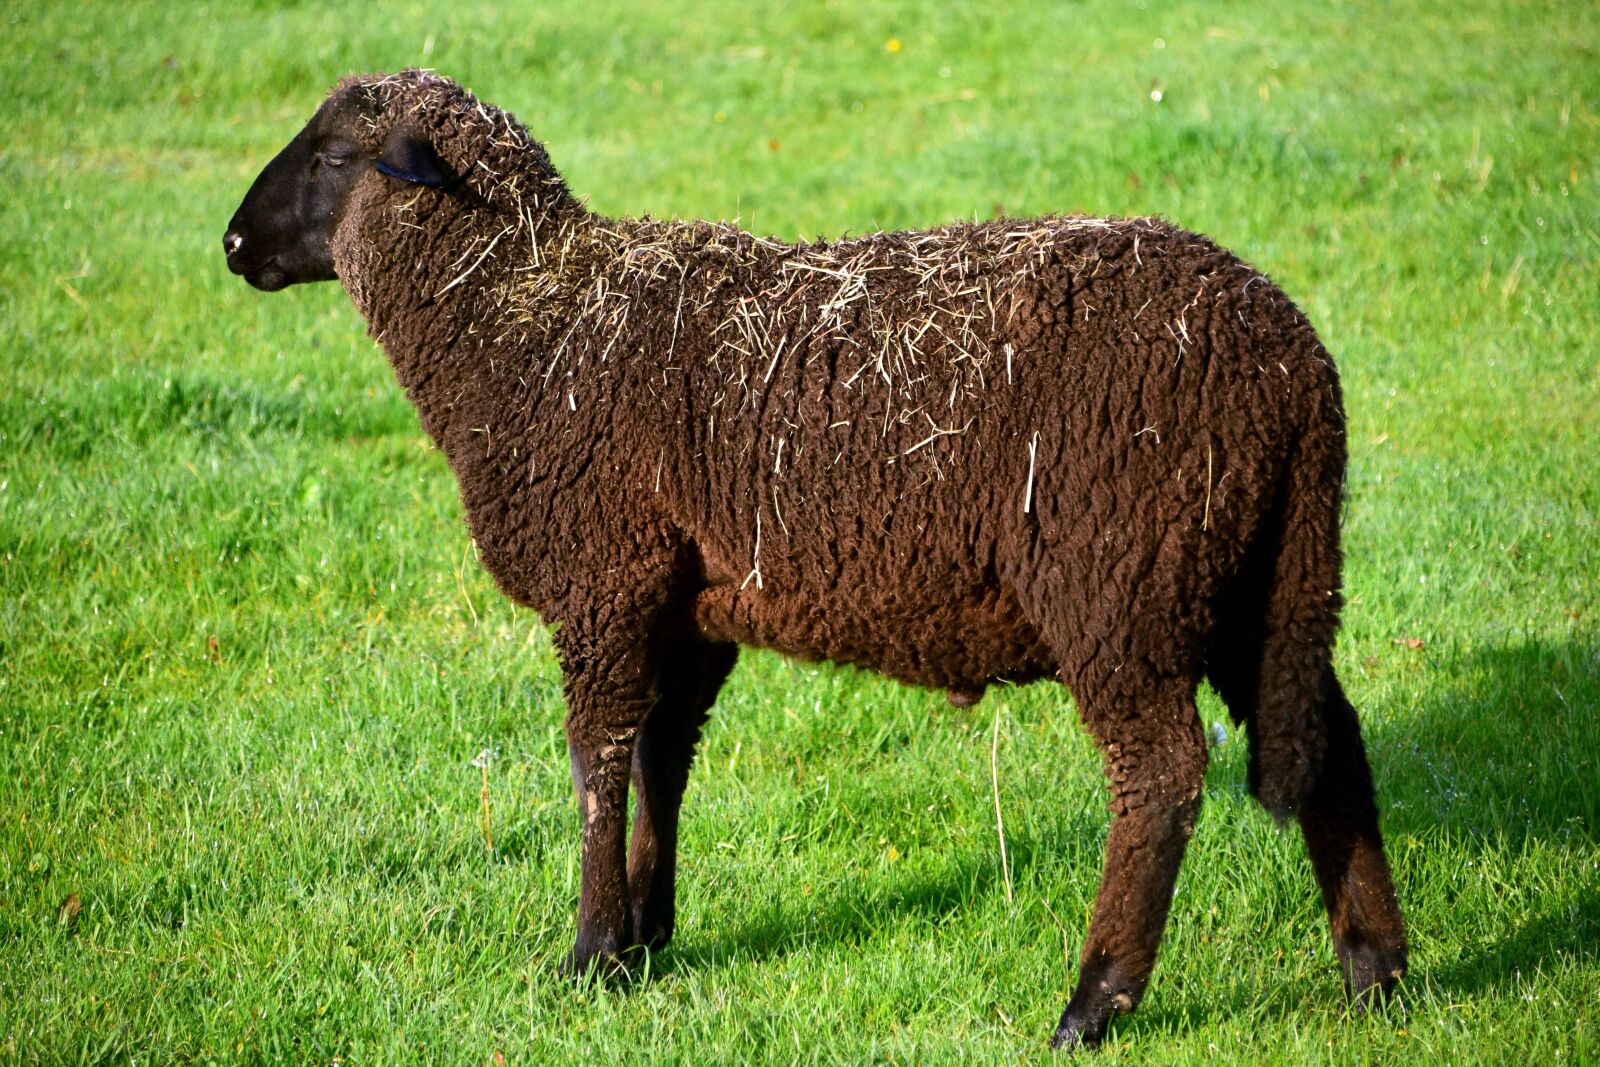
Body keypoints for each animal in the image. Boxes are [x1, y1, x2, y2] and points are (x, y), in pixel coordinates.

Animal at [223, 69, 1407, 1048]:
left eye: (333, 157)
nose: (232, 247)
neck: (525, 324)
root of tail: (1297, 367)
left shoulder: (605, 579)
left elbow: (594, 763)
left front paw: (590, 952)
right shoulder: (684, 604)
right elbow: (659, 758)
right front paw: (649, 936)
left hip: (1120, 586)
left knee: (1160, 777)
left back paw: (1092, 1001)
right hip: (1254, 577)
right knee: (1329, 741)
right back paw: (1375, 973)